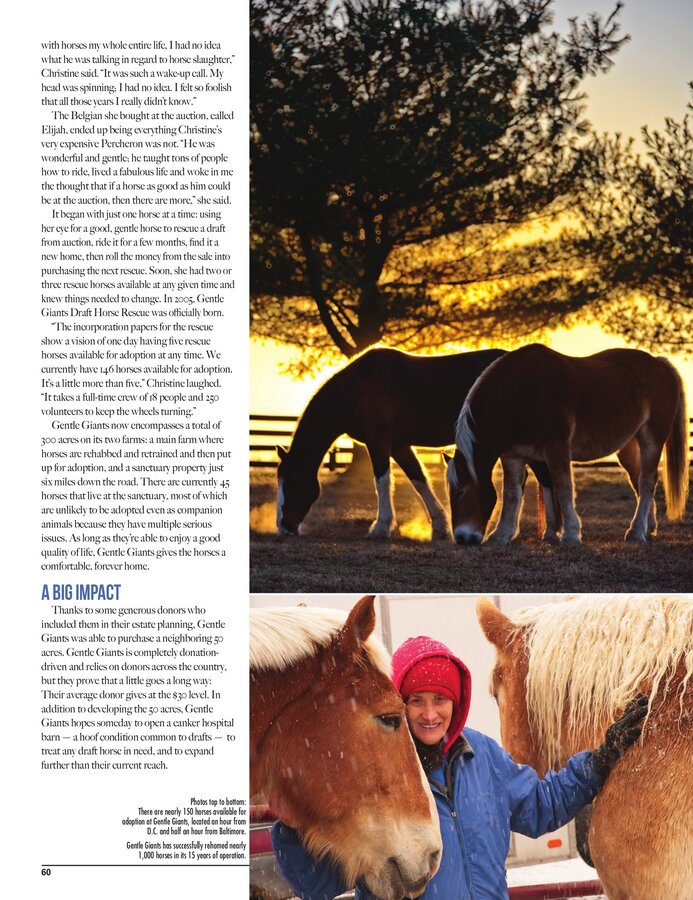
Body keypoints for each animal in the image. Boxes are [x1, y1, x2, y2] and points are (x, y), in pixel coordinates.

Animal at [276, 346, 509, 539]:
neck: (358, 386)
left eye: (289, 482)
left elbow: (382, 481)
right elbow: (419, 479)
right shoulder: (399, 445)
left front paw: (381, 527)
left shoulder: (378, 440)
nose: (284, 526)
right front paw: (439, 525)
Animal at [446, 344, 688, 545]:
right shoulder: (512, 456)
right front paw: (501, 535)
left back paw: (636, 532)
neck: (521, 393)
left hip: (652, 438)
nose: (462, 538)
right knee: (638, 480)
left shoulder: (557, 449)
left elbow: (563, 489)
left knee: (647, 482)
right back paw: (648, 528)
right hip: (628, 446)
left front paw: (571, 534)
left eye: (460, 492)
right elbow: (511, 494)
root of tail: (660, 364)